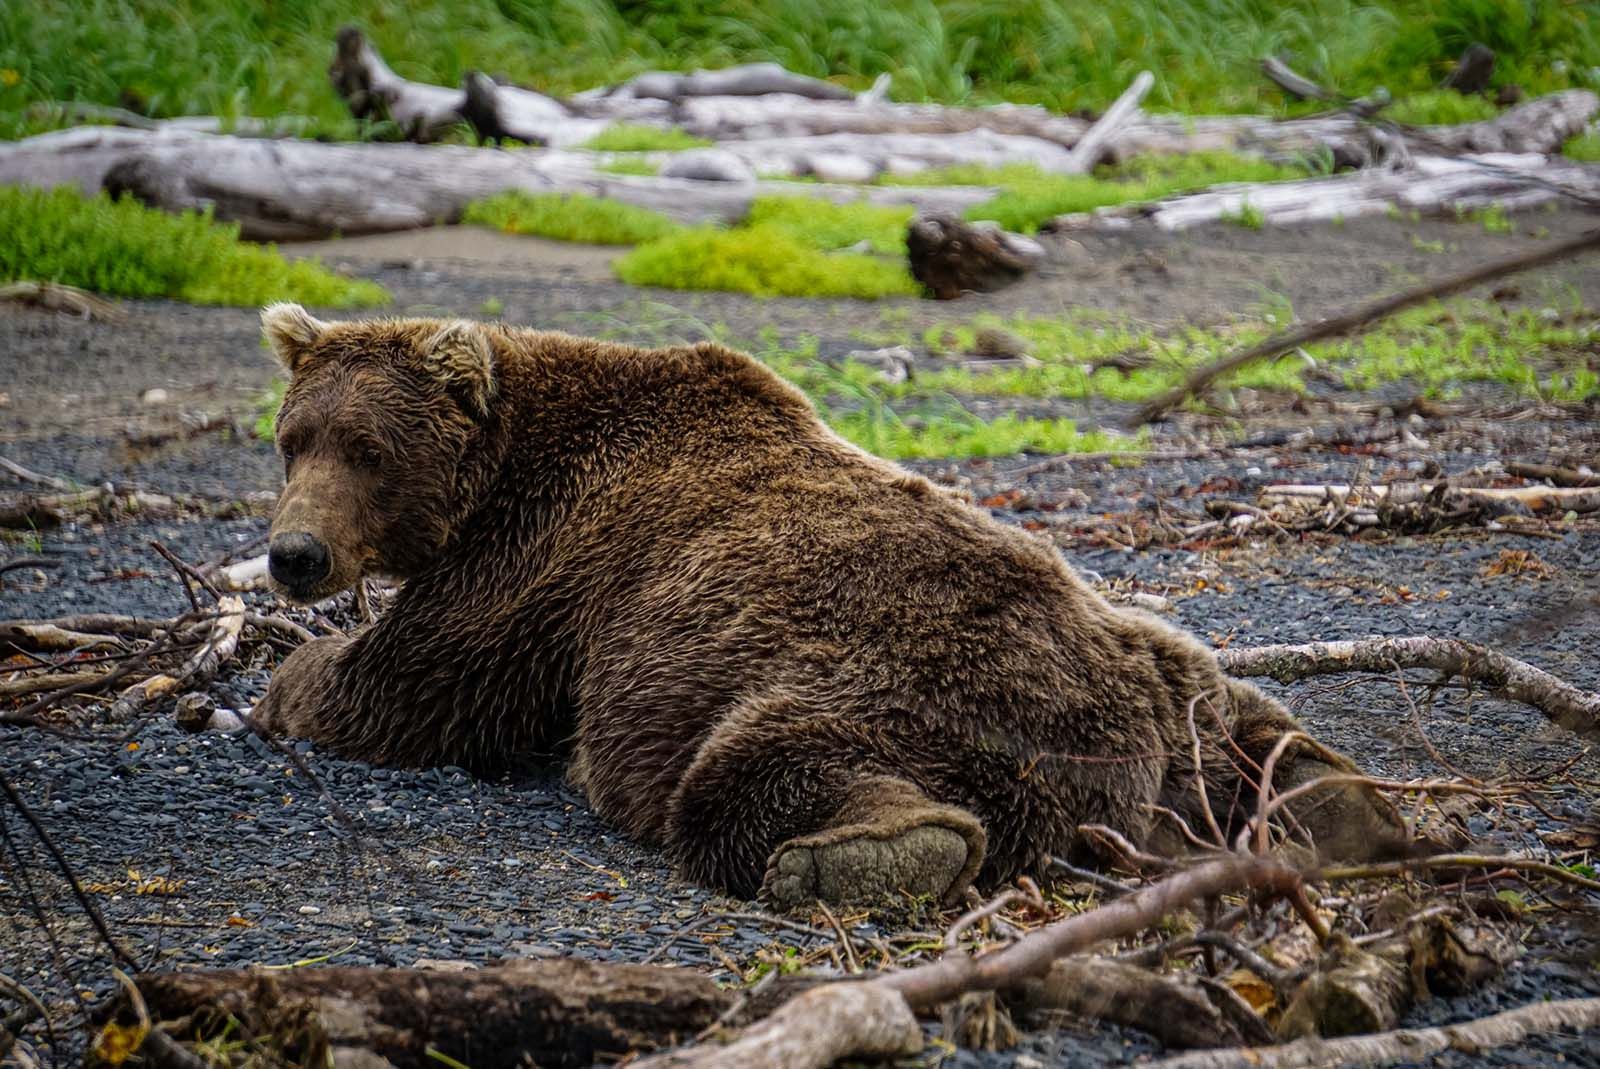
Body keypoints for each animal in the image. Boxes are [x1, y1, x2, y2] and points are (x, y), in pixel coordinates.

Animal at [252, 303, 1410, 909]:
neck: (508, 458)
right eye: (291, 438)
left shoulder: (540, 564)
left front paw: (280, 683)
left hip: (895, 682)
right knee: (1254, 715)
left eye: (366, 448)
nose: (294, 556)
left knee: (745, 777)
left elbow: (413, 682)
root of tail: (1125, 757)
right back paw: (1344, 805)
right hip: (1170, 665)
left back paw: (870, 850)